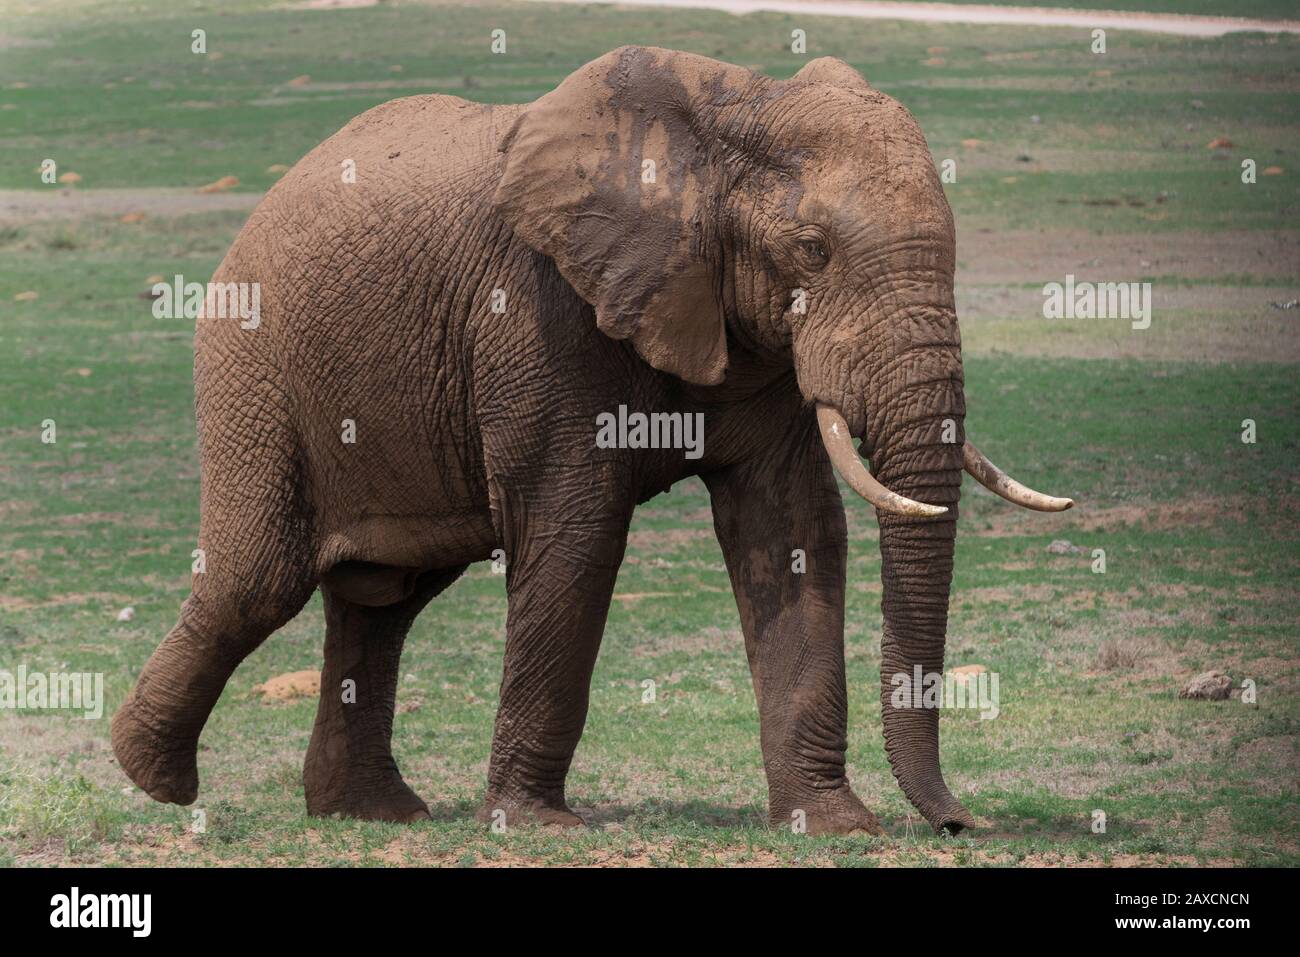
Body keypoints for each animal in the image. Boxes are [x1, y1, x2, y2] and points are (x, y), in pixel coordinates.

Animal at [111, 46, 1071, 837]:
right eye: (812, 249)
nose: (961, 825)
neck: (734, 108)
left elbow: (793, 530)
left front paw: (834, 827)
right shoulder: (540, 310)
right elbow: (576, 531)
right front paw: (539, 828)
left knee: (384, 597)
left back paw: (372, 813)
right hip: (253, 367)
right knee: (259, 579)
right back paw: (155, 779)